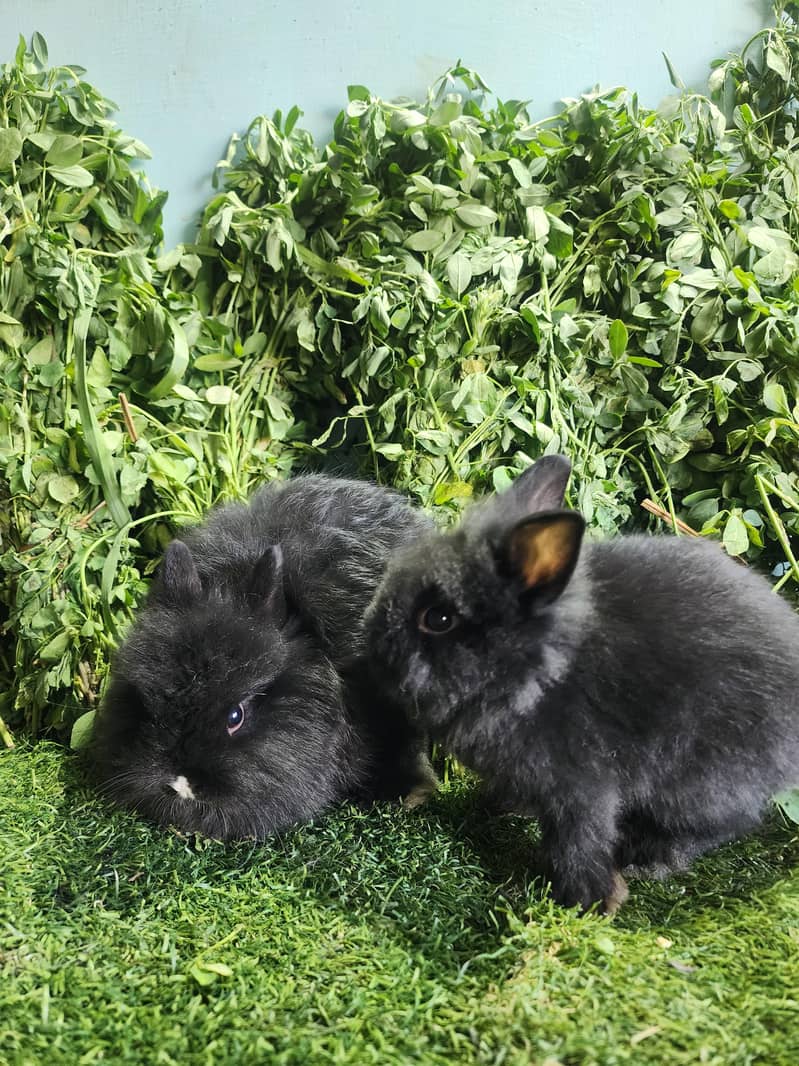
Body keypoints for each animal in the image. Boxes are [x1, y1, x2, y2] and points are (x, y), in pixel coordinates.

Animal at [364, 454, 799, 913]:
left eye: (438, 618)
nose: (371, 640)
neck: (537, 671)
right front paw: (497, 807)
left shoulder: (579, 785)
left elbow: (578, 840)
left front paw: (591, 901)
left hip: (702, 782)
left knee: (719, 825)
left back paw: (644, 859)